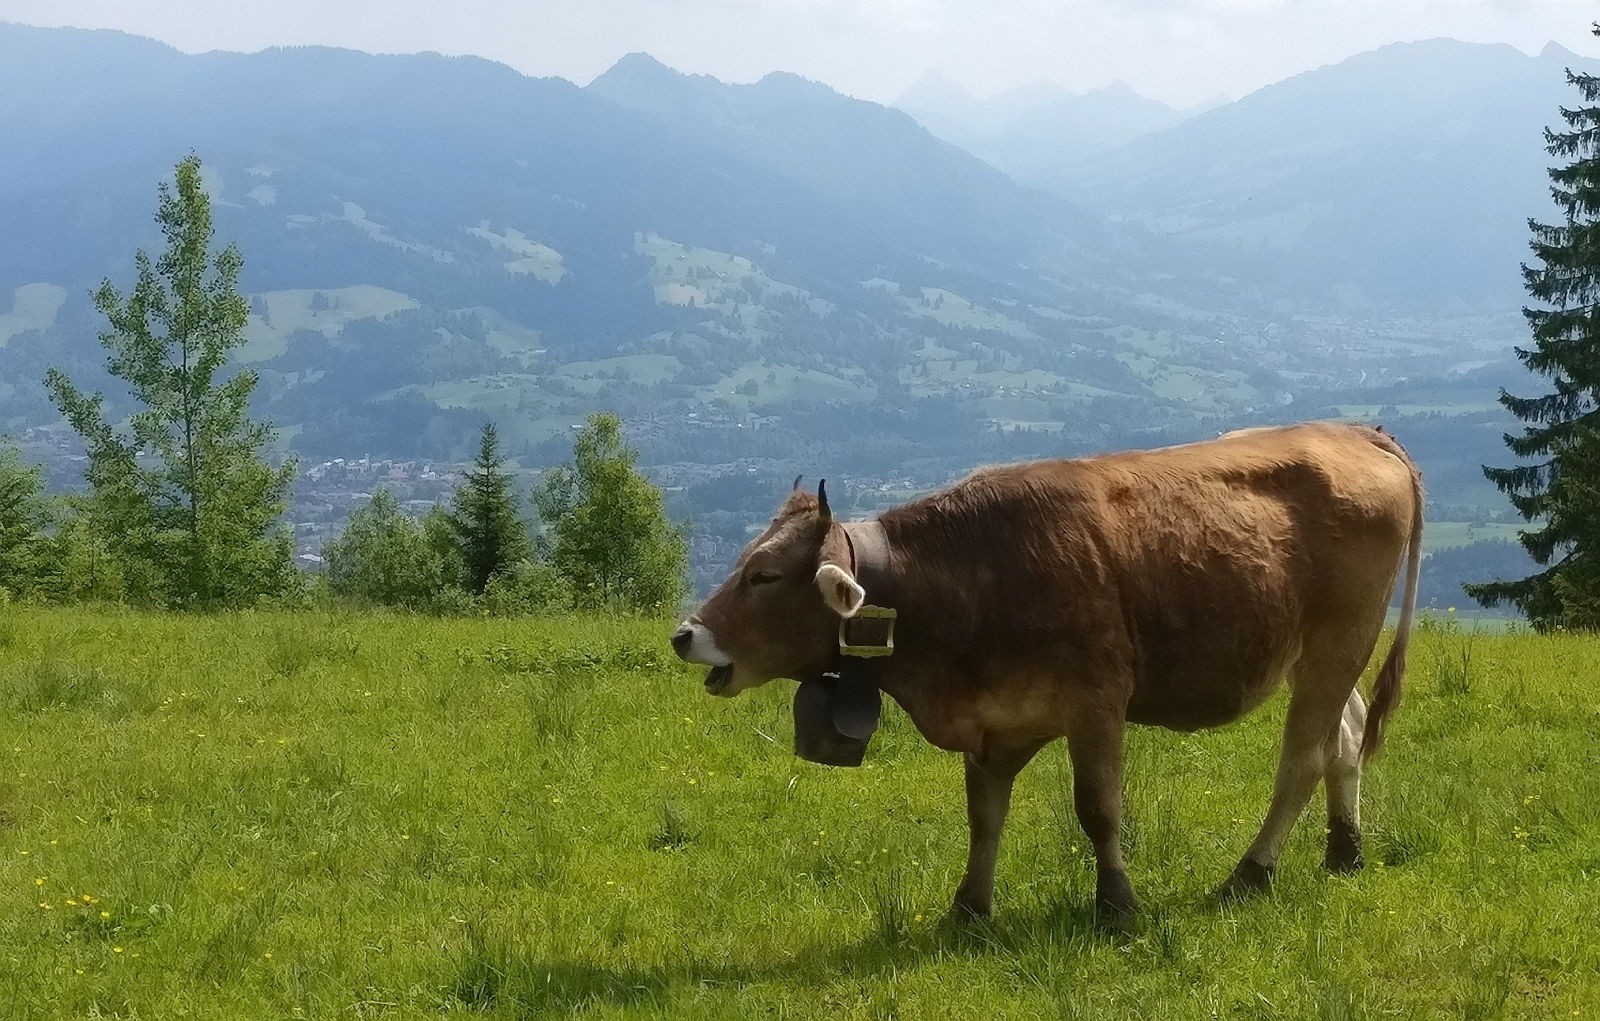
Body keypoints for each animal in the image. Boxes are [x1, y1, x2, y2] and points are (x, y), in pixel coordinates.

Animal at [671, 421, 1422, 924]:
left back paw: (1250, 874)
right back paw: (1345, 850)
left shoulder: (1097, 703)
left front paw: (1116, 905)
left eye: (765, 575)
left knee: (1303, 756)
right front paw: (969, 910)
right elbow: (984, 818)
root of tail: (1356, 428)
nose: (685, 634)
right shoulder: (991, 723)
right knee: (1345, 736)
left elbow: (1098, 809)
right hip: (1318, 648)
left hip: (1339, 638)